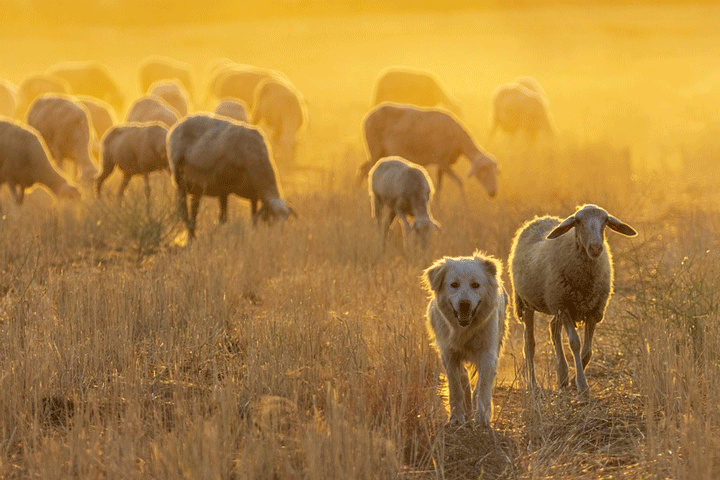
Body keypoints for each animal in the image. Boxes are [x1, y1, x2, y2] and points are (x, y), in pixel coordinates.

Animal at [362, 102, 498, 198]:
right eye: (482, 170)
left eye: (495, 171)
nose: (493, 193)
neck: (458, 140)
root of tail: (367, 118)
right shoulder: (443, 161)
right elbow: (459, 182)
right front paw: (466, 208)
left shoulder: (442, 163)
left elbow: (439, 186)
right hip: (374, 149)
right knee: (366, 171)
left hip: (381, 152)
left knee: (363, 169)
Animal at [506, 204, 636, 392]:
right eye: (578, 221)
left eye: (605, 220)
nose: (596, 248)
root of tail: (540, 219)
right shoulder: (565, 307)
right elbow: (575, 343)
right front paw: (582, 385)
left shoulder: (594, 310)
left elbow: (588, 350)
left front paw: (574, 380)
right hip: (527, 302)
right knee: (529, 344)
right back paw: (533, 383)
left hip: (555, 304)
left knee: (553, 328)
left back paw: (563, 376)